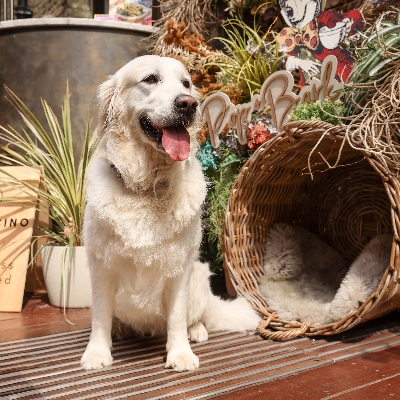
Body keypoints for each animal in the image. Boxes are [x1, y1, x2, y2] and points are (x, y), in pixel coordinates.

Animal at [80, 55, 260, 372]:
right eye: (151, 79)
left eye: (186, 83)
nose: (188, 104)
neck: (145, 187)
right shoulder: (101, 265)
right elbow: (100, 317)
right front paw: (97, 352)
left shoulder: (180, 268)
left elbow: (176, 317)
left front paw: (180, 354)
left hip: (200, 275)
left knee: (196, 317)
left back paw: (196, 332)